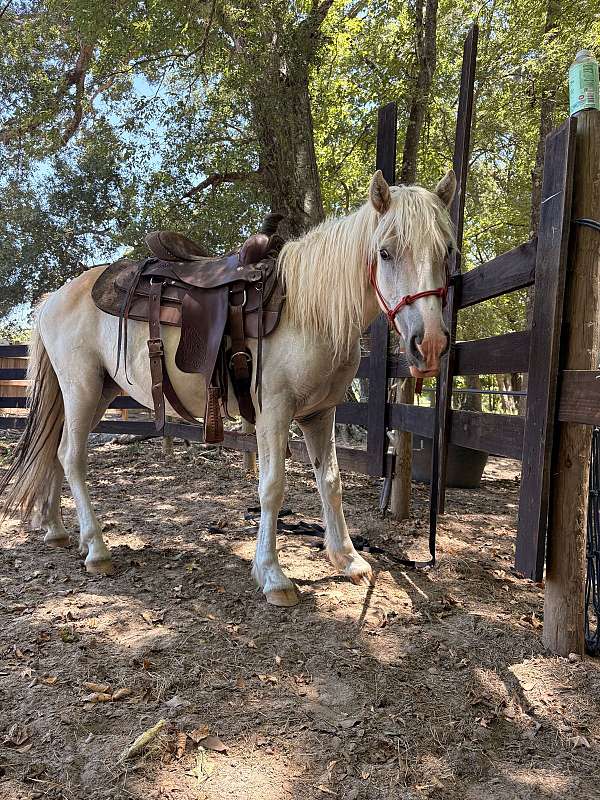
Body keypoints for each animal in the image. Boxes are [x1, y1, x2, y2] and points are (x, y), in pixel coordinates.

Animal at [0, 169, 456, 607]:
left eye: (447, 251)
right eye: (385, 252)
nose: (430, 344)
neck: (307, 312)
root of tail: (55, 298)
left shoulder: (319, 414)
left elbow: (331, 481)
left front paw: (348, 558)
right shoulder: (274, 413)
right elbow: (272, 488)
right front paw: (273, 576)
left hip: (97, 394)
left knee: (54, 452)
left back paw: (59, 530)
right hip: (81, 389)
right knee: (71, 457)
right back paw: (96, 549)